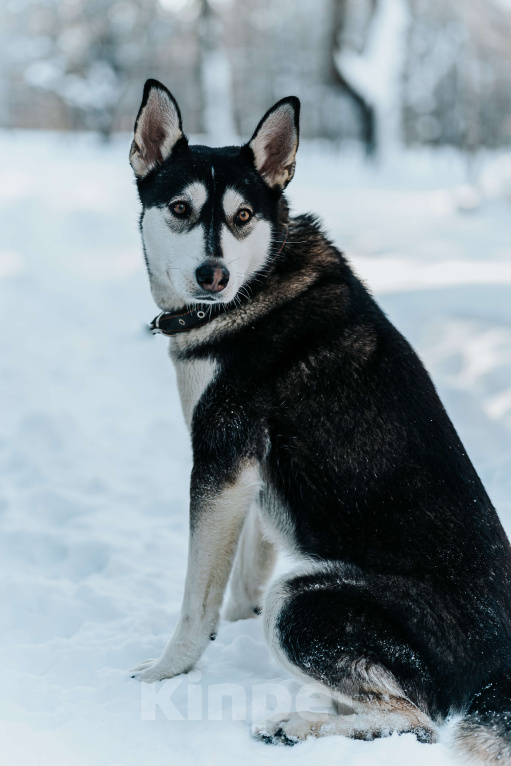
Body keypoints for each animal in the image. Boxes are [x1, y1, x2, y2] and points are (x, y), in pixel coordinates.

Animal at [129, 78, 511, 760]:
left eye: (242, 217)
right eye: (179, 208)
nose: (212, 275)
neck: (256, 286)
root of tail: (498, 669)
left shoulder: (220, 460)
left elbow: (197, 599)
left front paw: (165, 673)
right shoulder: (249, 478)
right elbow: (240, 580)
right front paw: (231, 628)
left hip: (303, 601)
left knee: (417, 720)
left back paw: (295, 726)